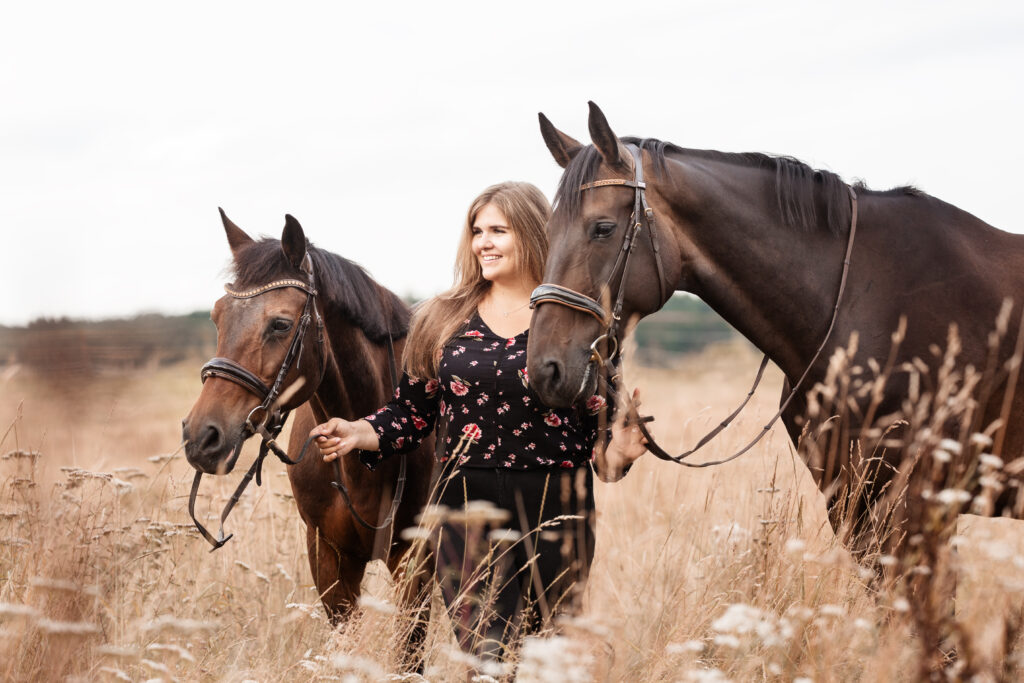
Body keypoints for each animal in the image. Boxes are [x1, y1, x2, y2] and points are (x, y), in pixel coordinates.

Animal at [528, 102, 1024, 557]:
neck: (865, 304)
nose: (545, 369)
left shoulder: (918, 504)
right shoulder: (849, 500)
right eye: (548, 231)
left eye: (603, 228)